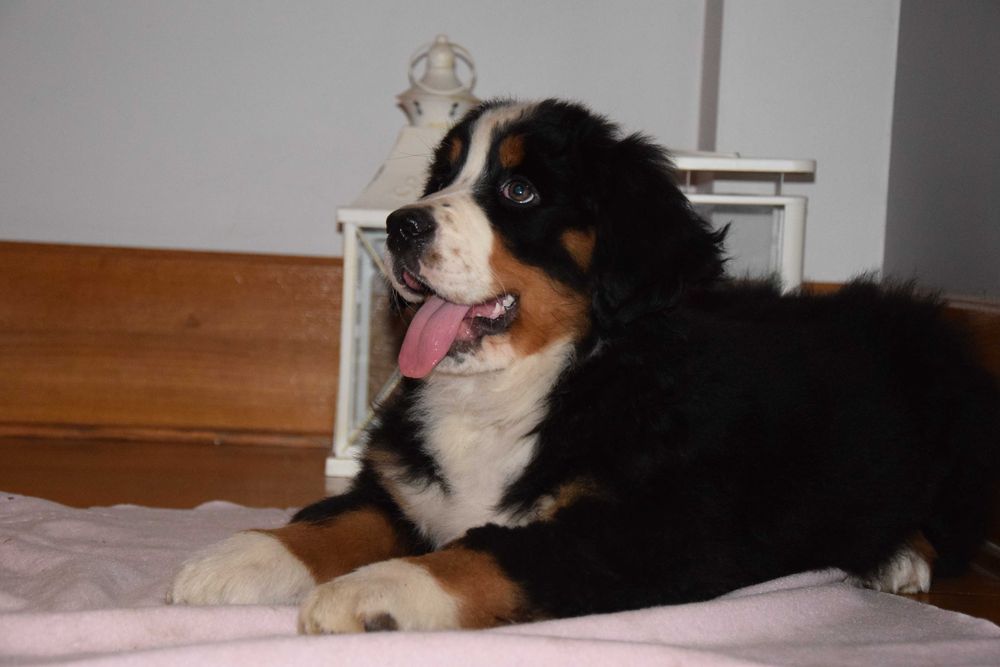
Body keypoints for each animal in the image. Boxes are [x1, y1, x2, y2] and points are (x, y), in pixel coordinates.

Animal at [169, 99, 998, 634]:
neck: (531, 380)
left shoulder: (646, 525)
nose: (401, 226)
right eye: (439, 179)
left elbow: (489, 550)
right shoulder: (406, 484)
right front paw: (242, 554)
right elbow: (343, 515)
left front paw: (373, 590)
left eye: (519, 188)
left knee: (951, 525)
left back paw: (896, 556)